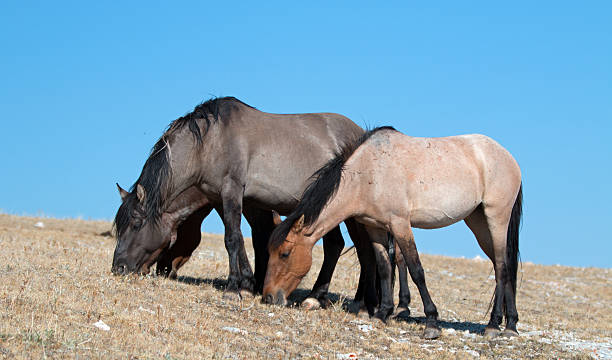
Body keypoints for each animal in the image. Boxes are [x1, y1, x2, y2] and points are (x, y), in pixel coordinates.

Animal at [262, 127, 520, 340]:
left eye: (285, 253)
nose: (268, 297)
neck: (368, 174)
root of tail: (508, 157)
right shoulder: (374, 227)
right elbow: (385, 267)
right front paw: (382, 313)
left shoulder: (400, 225)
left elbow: (416, 271)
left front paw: (431, 323)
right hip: (478, 222)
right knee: (504, 266)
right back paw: (511, 325)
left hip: (496, 219)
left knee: (501, 267)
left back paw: (493, 325)